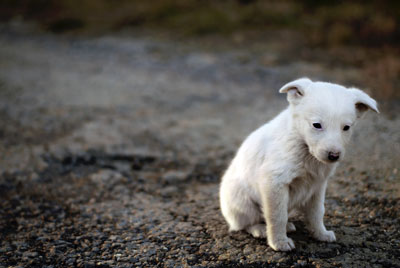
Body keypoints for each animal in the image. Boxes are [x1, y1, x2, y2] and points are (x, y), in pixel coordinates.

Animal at [219, 77, 378, 251]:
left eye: (346, 127)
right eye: (316, 125)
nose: (334, 156)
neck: (304, 147)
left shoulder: (318, 186)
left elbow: (317, 212)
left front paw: (320, 234)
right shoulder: (274, 182)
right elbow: (277, 216)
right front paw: (279, 242)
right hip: (242, 202)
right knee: (245, 224)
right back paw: (260, 229)